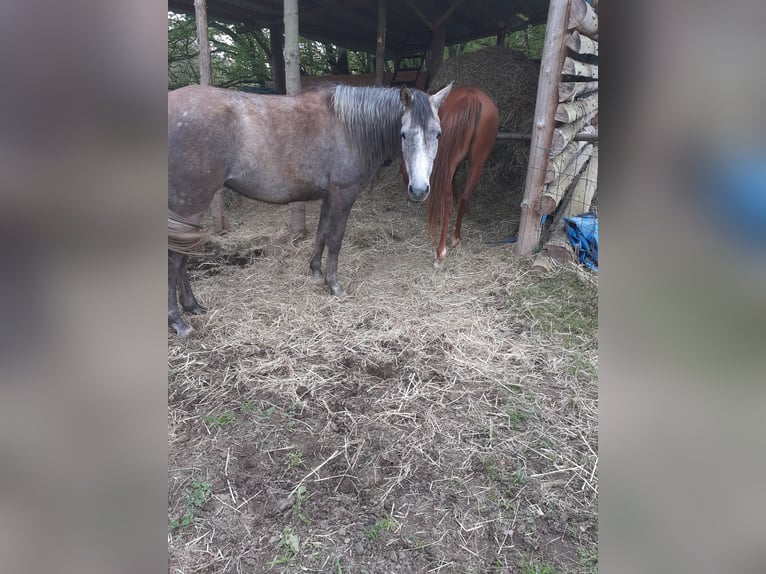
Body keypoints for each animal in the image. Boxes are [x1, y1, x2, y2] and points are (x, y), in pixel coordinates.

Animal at [404, 86, 500, 268]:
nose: (414, 191)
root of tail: (472, 97)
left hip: (450, 164)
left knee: (446, 205)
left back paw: (441, 253)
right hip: (477, 163)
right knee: (464, 198)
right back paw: (455, 237)